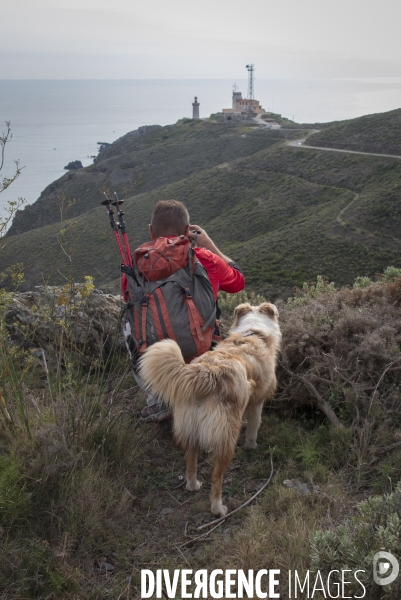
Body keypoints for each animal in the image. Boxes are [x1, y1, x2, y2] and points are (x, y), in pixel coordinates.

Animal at [139, 302, 280, 516]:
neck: (253, 331)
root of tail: (205, 373)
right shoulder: (257, 402)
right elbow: (253, 427)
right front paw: (251, 445)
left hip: (190, 427)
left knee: (190, 463)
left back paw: (193, 485)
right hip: (226, 438)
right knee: (216, 478)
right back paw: (218, 508)